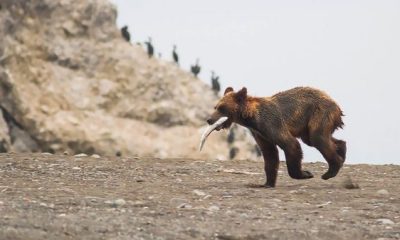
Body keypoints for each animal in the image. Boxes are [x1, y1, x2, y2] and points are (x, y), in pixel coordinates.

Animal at [205, 86, 346, 188]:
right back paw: (341, 151)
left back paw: (330, 171)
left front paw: (305, 174)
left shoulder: (271, 123)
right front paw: (266, 183)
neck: (251, 118)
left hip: (319, 113)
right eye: (216, 107)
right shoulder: (260, 133)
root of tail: (336, 104)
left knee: (318, 138)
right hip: (308, 125)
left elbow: (290, 144)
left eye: (222, 108)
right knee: (316, 139)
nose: (209, 119)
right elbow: (270, 154)